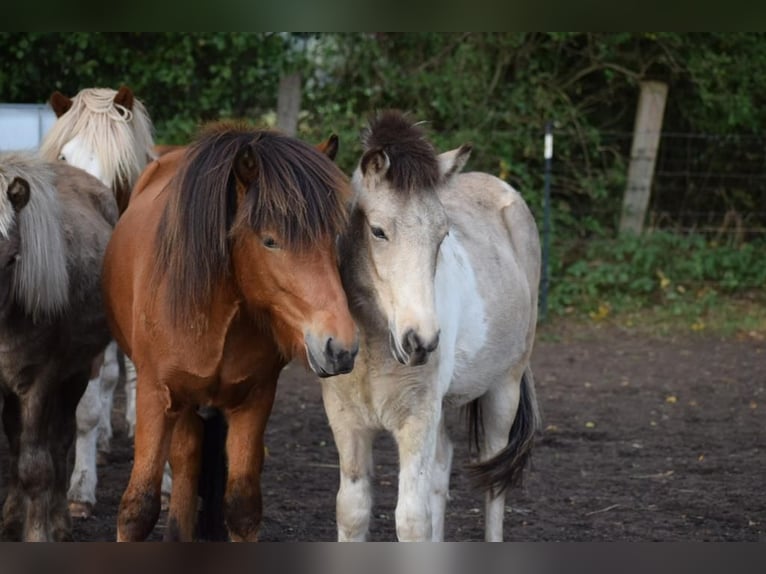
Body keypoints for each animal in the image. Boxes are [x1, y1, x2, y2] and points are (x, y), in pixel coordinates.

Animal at [0, 152, 117, 540]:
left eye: (12, 258)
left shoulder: (39, 381)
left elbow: (37, 466)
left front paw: (38, 533)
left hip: (77, 371)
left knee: (60, 439)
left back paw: (62, 521)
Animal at [103, 122, 364, 544]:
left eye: (333, 238)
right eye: (270, 240)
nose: (340, 346)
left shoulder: (253, 399)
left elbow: (242, 507)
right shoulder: (156, 394)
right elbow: (137, 509)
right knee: (186, 456)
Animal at [320, 111, 544, 544]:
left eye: (443, 235)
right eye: (378, 231)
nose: (420, 341)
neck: (373, 347)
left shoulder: (416, 420)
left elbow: (411, 520)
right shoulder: (347, 422)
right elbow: (352, 511)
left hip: (503, 390)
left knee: (493, 481)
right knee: (442, 472)